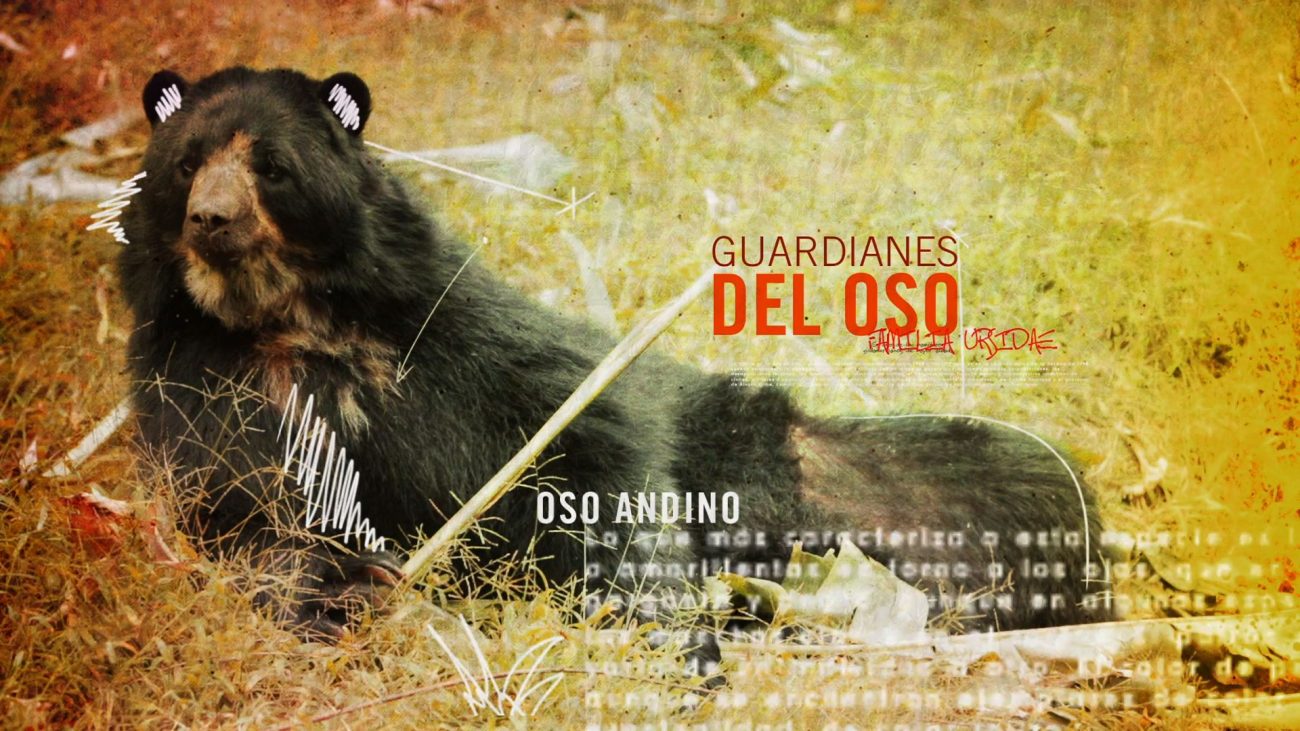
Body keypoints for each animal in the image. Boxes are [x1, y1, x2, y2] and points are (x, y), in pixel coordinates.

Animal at [118, 67, 1112, 653]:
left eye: (270, 167)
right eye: (185, 164)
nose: (210, 218)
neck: (295, 316)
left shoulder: (449, 322)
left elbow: (583, 432)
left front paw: (650, 620)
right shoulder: (199, 376)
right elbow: (240, 504)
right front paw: (330, 596)